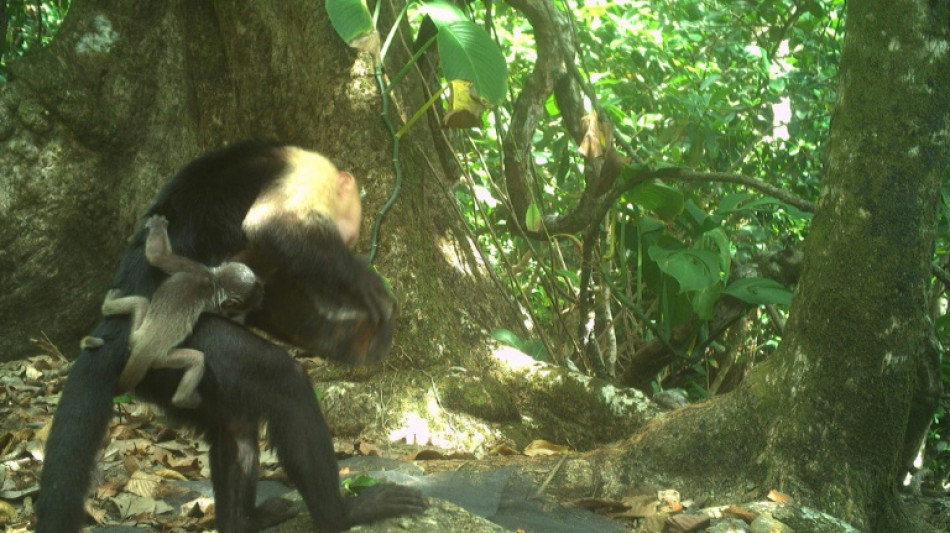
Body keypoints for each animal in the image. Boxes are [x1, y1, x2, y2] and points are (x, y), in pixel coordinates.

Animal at [100, 214, 263, 408]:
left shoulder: (195, 268)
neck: (215, 280)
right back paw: (184, 400)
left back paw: (108, 306)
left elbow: (158, 257)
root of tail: (143, 349)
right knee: (197, 360)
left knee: (141, 302)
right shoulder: (213, 300)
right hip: (162, 359)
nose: (260, 293)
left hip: (135, 336)